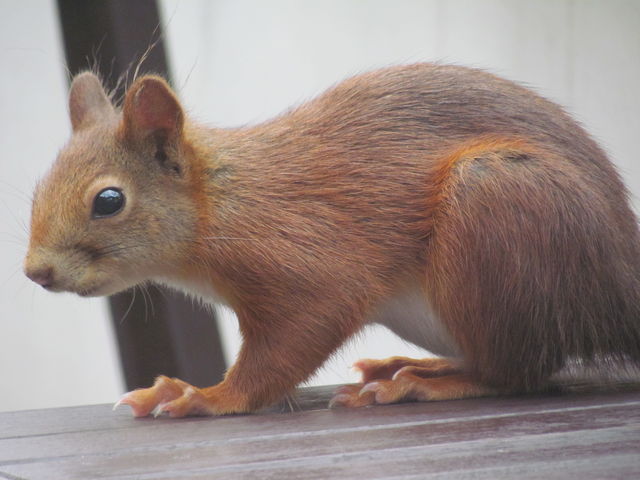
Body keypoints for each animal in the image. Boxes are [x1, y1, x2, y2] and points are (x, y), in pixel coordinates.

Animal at [23, 63, 640, 416]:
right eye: (41, 184)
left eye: (108, 201)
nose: (35, 272)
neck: (219, 204)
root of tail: (622, 292)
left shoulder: (307, 264)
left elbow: (289, 345)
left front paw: (207, 397)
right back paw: (411, 366)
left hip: (499, 210)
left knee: (516, 371)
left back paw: (424, 385)